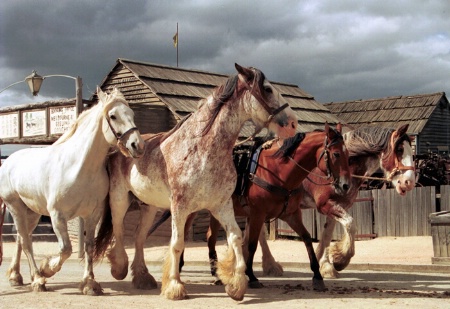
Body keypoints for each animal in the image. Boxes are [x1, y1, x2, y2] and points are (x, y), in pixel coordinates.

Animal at [93, 63, 298, 300]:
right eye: (267, 89)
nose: (293, 123)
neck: (202, 150)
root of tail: (121, 147)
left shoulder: (221, 205)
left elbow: (235, 237)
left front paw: (236, 284)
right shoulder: (180, 207)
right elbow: (177, 244)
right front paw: (174, 286)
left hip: (149, 206)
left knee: (139, 236)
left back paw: (142, 277)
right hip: (119, 199)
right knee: (118, 230)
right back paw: (119, 269)